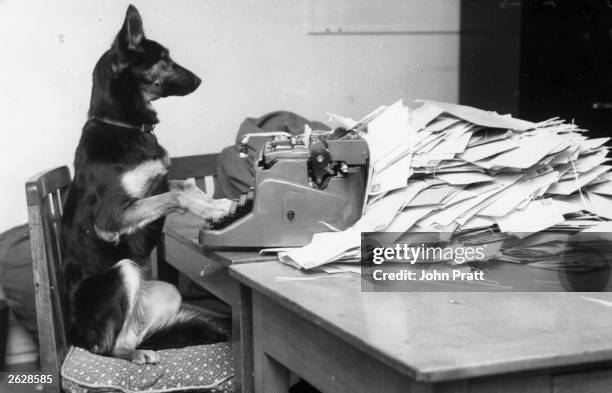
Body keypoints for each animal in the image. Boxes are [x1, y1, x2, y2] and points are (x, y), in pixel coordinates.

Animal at [60, 4, 232, 362]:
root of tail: (75, 336)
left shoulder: (147, 209)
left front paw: (217, 204)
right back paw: (135, 355)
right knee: (109, 347)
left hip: (167, 291)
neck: (124, 126)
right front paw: (211, 211)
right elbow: (175, 196)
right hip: (123, 271)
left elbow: (181, 186)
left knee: (136, 333)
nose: (200, 80)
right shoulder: (109, 221)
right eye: (163, 58)